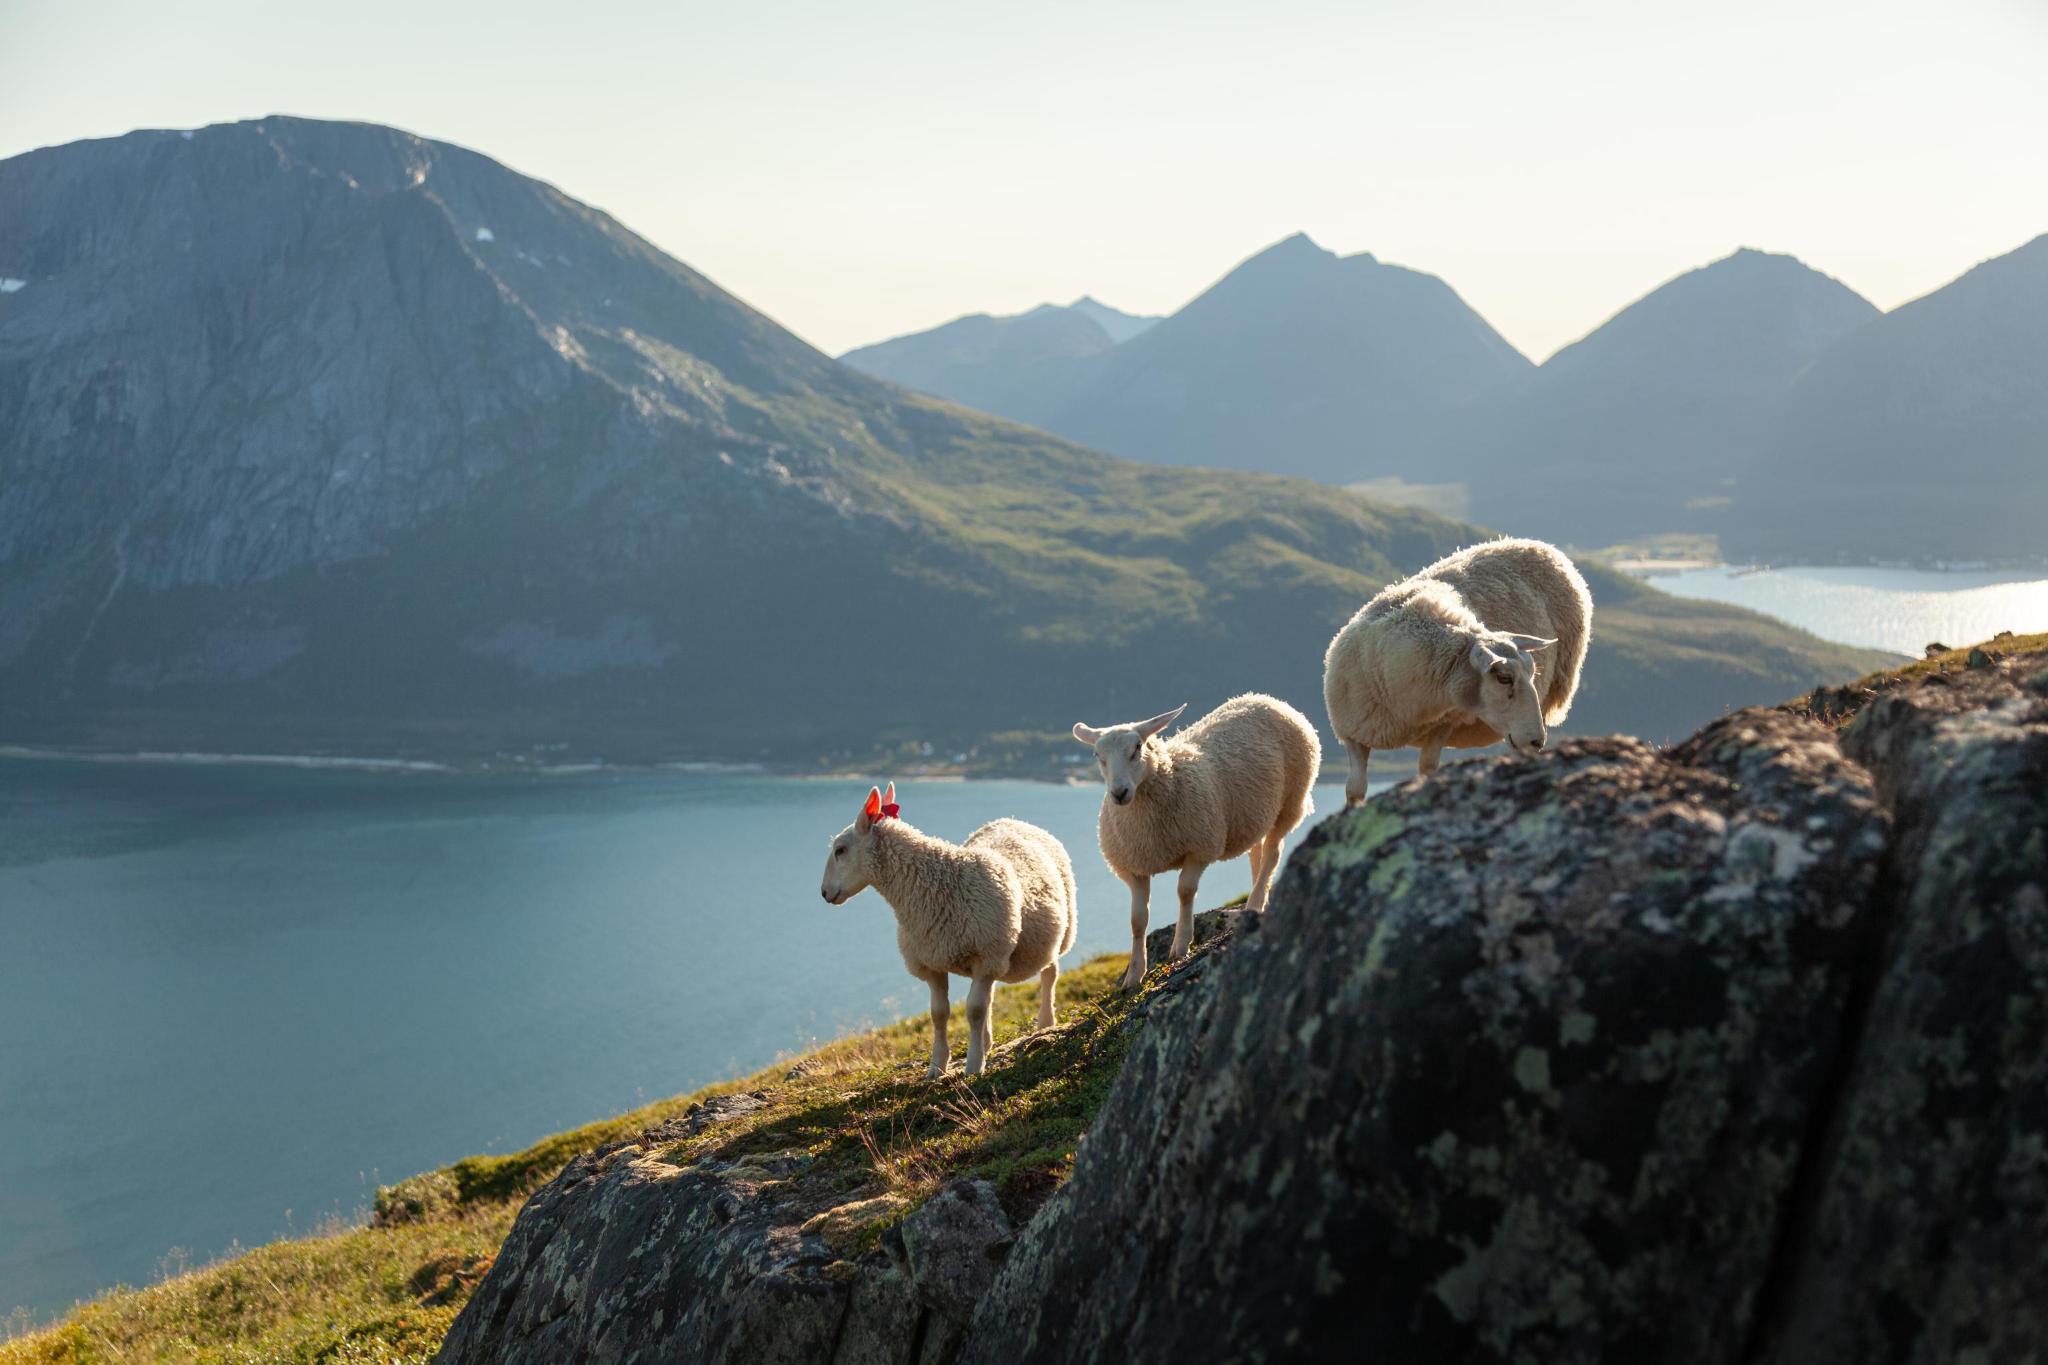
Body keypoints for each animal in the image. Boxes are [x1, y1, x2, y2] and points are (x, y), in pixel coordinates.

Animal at [815, 785, 1081, 1080]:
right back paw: (987, 1040)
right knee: (992, 995)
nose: (824, 892)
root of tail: (1014, 820)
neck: (935, 885)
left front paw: (974, 1065)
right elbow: (939, 1014)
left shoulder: (986, 957)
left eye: (840, 850)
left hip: (1057, 933)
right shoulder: (932, 962)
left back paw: (1045, 1022)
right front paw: (937, 1066)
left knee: (1049, 973)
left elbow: (974, 1010)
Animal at [1073, 699, 1327, 986]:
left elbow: (1185, 892)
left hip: (1291, 800)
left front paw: (1181, 945)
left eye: (1137, 748)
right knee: (1257, 853)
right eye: (1097, 755)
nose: (1119, 793)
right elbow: (1138, 920)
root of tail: (1266, 699)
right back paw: (1257, 898)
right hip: (1256, 814)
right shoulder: (1134, 867)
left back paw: (1255, 902)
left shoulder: (1200, 848)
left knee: (1273, 853)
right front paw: (1134, 975)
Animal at [1318, 532, 1589, 802]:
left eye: (1532, 673)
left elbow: (1428, 768)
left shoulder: (1443, 723)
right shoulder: (1353, 734)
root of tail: (1542, 546)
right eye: (1503, 678)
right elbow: (1355, 788)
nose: (1536, 741)